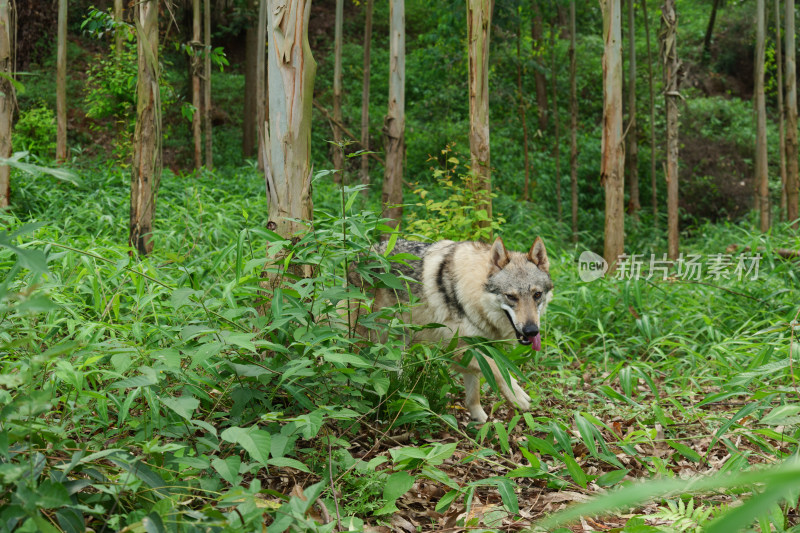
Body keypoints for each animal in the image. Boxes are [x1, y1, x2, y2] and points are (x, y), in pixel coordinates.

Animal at [354, 236, 552, 420]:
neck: (470, 294)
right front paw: (517, 396)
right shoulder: (454, 350)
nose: (532, 331)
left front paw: (481, 421)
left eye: (537, 295)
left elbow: (474, 393)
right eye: (511, 296)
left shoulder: (476, 347)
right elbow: (498, 367)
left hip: (399, 341)